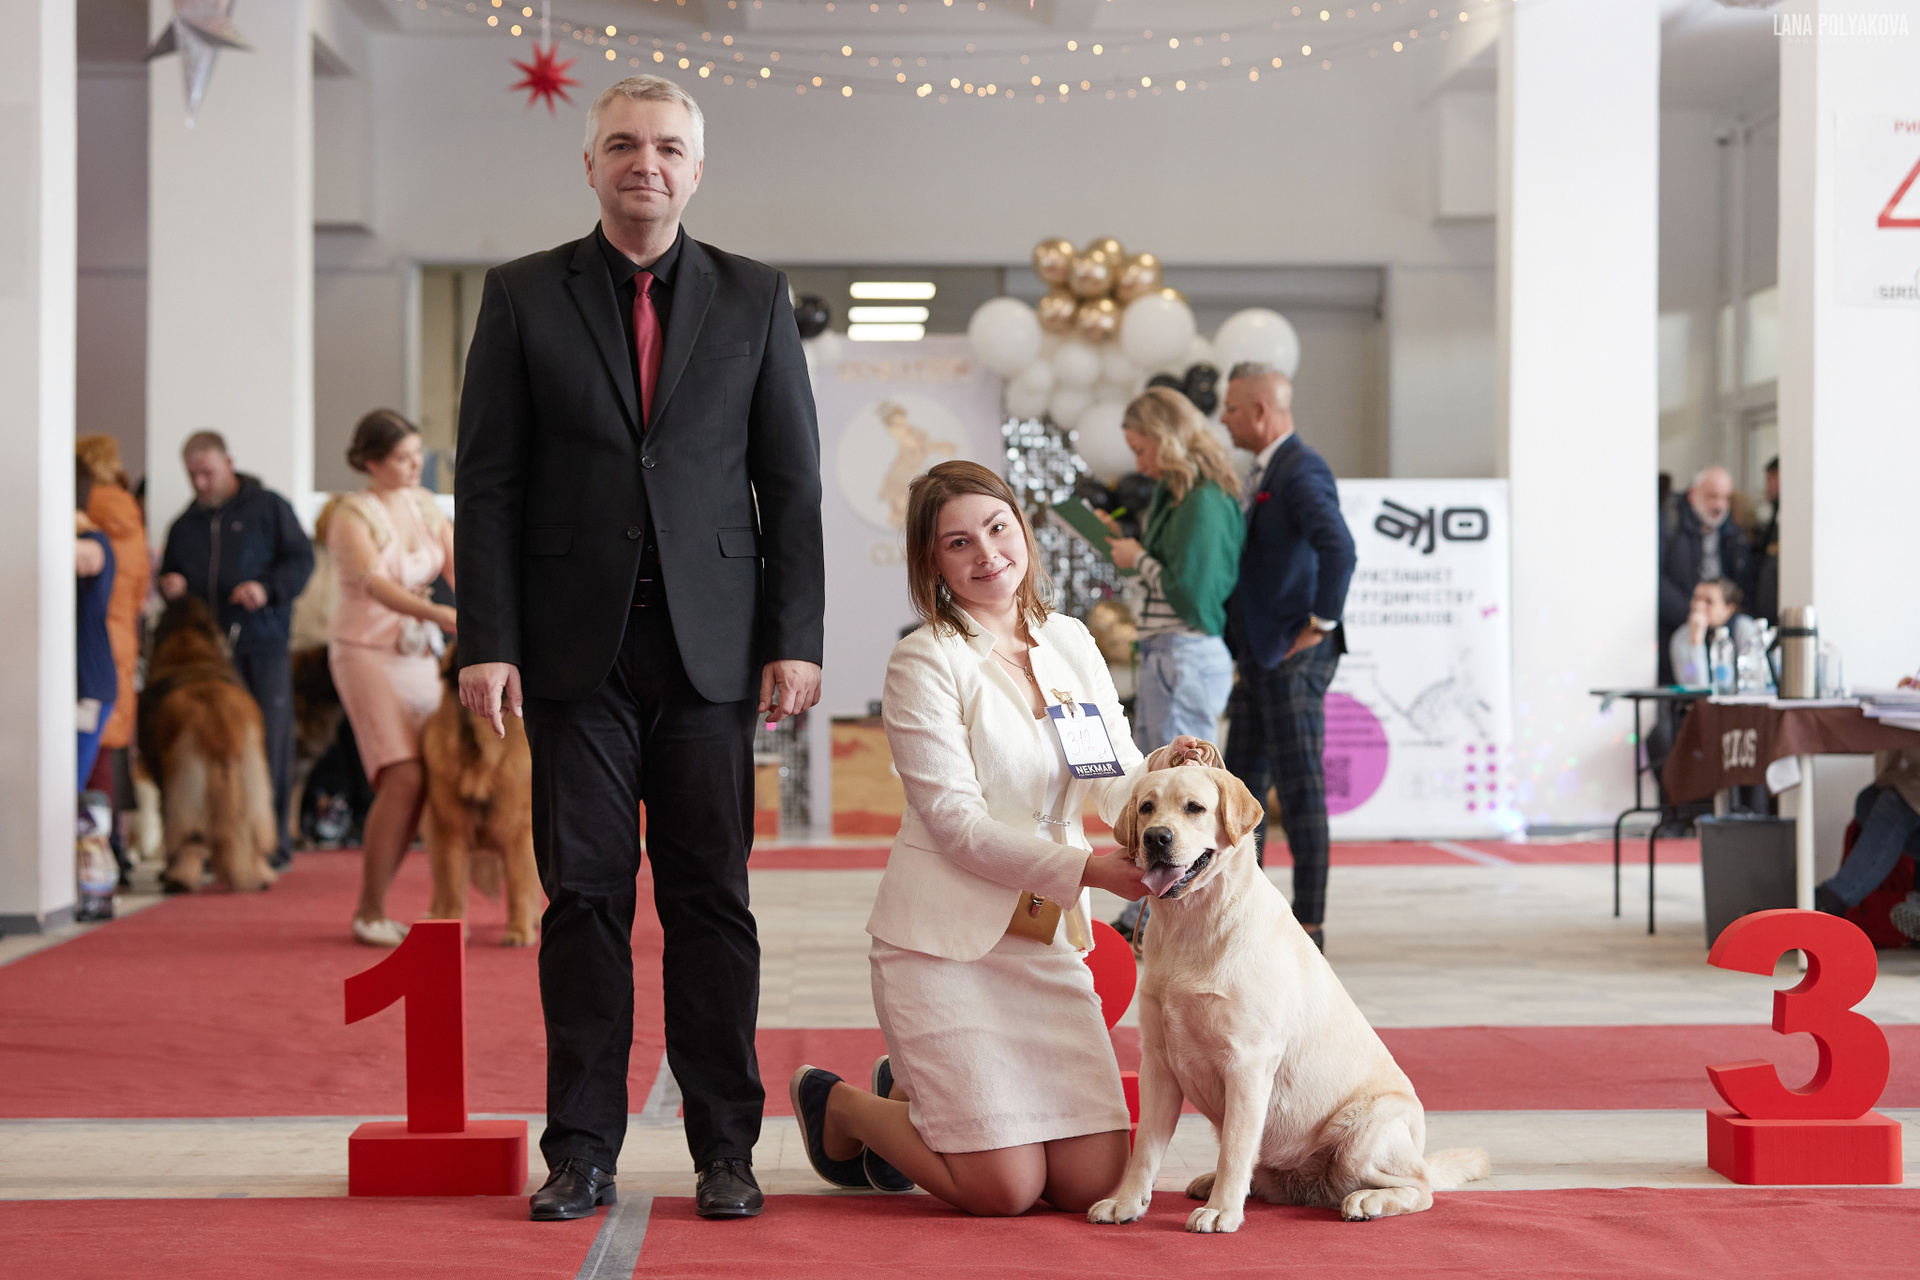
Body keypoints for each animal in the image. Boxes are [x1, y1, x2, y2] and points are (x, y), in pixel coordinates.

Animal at [139, 597, 278, 895]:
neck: (191, 651)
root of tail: (218, 714)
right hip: (253, 772)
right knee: (253, 829)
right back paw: (258, 875)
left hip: (185, 781)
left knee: (189, 834)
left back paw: (179, 880)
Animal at [419, 642, 541, 946]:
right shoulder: (451, 830)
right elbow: (452, 884)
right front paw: (453, 924)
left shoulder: (518, 830)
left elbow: (520, 885)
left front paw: (519, 931)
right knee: (440, 882)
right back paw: (435, 916)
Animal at [1089, 749, 1488, 1233]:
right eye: (1146, 807)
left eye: (1194, 808)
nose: (1156, 838)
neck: (1195, 924)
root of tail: (1312, 1187)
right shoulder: (1159, 1063)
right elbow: (1145, 1147)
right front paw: (1126, 1203)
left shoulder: (1247, 1063)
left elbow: (1236, 1148)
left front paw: (1222, 1211)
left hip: (1365, 1133)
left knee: (1419, 1187)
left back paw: (1366, 1200)